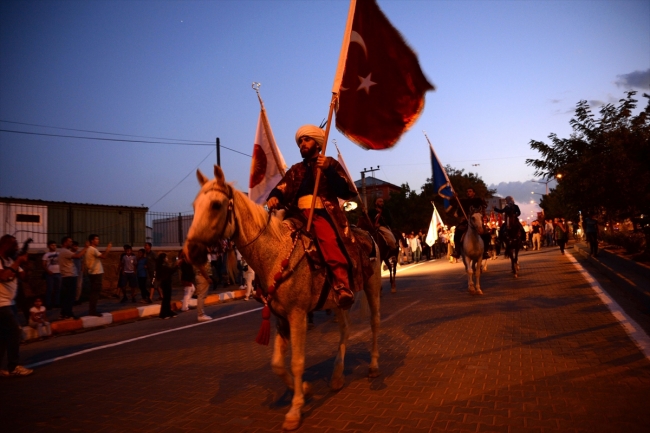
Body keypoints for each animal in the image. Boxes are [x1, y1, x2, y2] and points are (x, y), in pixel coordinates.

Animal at [180, 165, 382, 428]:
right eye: (194, 206)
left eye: (215, 205)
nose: (190, 252)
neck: (276, 254)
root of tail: (366, 234)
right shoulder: (281, 318)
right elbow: (277, 364)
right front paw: (305, 389)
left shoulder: (297, 315)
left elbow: (297, 362)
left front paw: (295, 410)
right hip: (339, 300)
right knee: (345, 330)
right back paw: (337, 376)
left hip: (372, 286)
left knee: (374, 323)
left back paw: (373, 366)